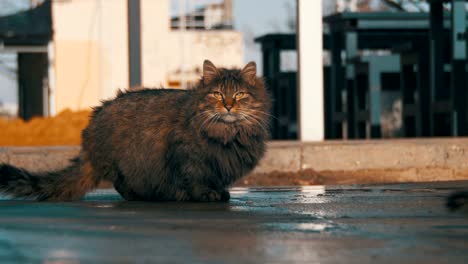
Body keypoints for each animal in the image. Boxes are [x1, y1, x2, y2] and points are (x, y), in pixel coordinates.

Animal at [0, 60, 270, 202]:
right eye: (217, 94)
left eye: (239, 95)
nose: (228, 105)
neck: (228, 135)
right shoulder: (189, 160)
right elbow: (196, 180)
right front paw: (205, 195)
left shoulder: (220, 164)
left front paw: (220, 193)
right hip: (125, 162)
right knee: (120, 184)